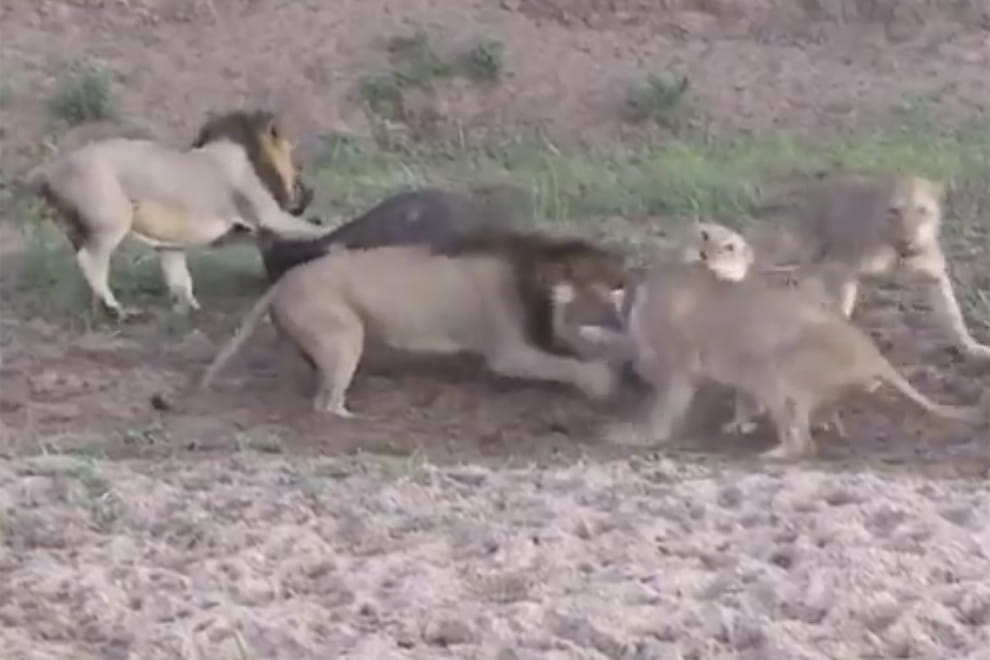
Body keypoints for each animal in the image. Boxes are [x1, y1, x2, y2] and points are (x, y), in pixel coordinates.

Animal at [23, 109, 328, 316]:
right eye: (294, 158)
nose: (304, 186)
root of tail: (50, 171)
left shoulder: (170, 246)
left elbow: (181, 281)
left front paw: (190, 311)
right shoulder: (268, 216)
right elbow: (316, 230)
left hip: (80, 229)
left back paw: (97, 308)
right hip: (111, 220)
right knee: (91, 261)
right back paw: (118, 310)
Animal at [181, 229, 629, 417]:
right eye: (606, 282)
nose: (629, 279)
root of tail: (282, 282)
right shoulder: (509, 350)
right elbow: (562, 364)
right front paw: (602, 382)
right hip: (345, 335)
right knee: (325, 404)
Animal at [751, 173, 990, 361]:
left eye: (923, 210)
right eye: (894, 211)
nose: (907, 240)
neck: (898, 254)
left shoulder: (935, 276)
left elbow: (953, 314)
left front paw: (972, 347)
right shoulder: (847, 268)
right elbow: (843, 308)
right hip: (798, 250)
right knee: (766, 260)